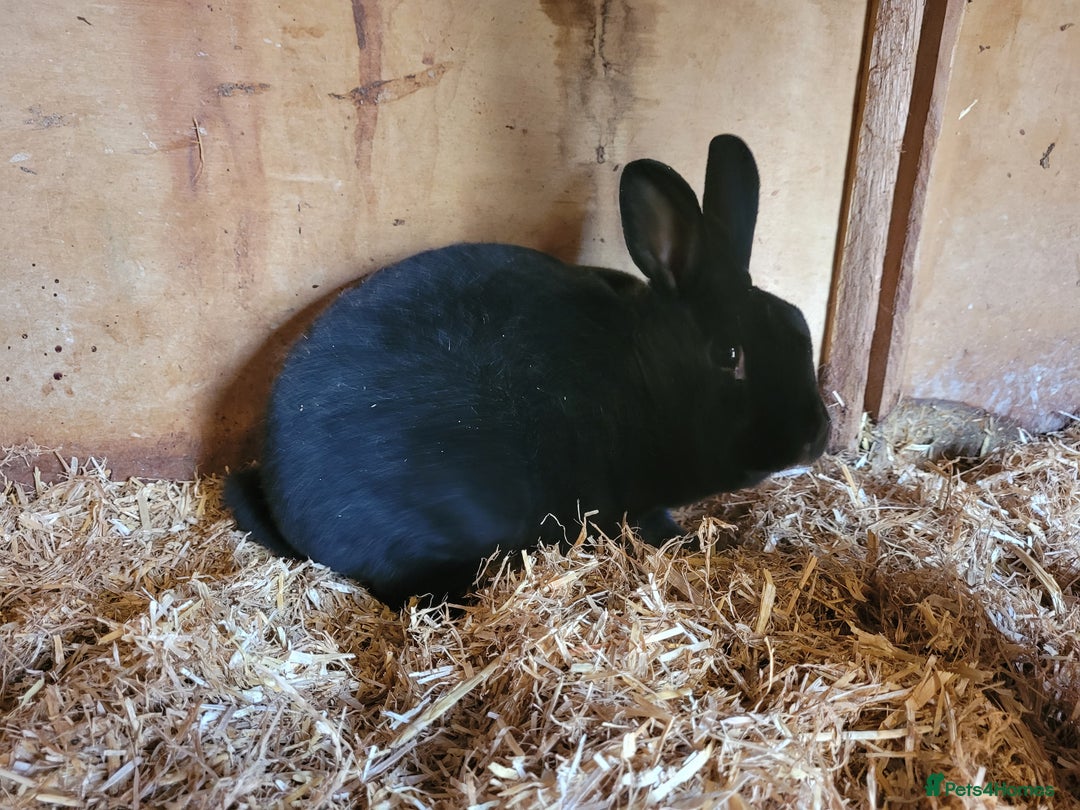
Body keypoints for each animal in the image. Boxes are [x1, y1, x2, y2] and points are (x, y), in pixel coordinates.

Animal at [225, 134, 830, 609]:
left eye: (799, 322)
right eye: (729, 356)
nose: (818, 437)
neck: (645, 379)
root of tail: (286, 509)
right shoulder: (629, 503)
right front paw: (680, 543)